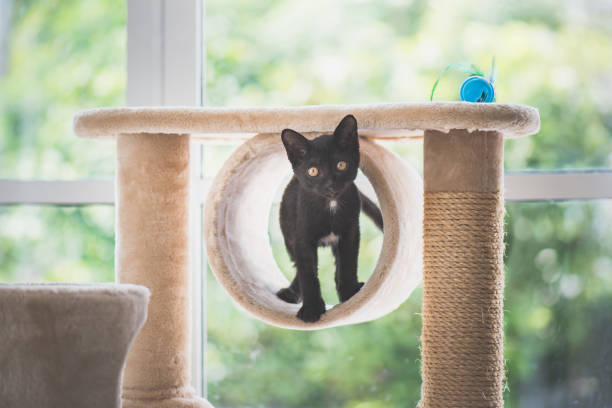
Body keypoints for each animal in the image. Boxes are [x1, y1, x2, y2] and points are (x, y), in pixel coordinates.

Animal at [278, 114, 382, 322]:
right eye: (313, 171)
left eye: (341, 165)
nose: (331, 185)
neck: (331, 206)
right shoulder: (303, 238)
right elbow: (308, 273)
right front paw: (311, 309)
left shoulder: (351, 232)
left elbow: (348, 264)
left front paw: (349, 293)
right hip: (289, 237)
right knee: (299, 267)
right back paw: (291, 292)